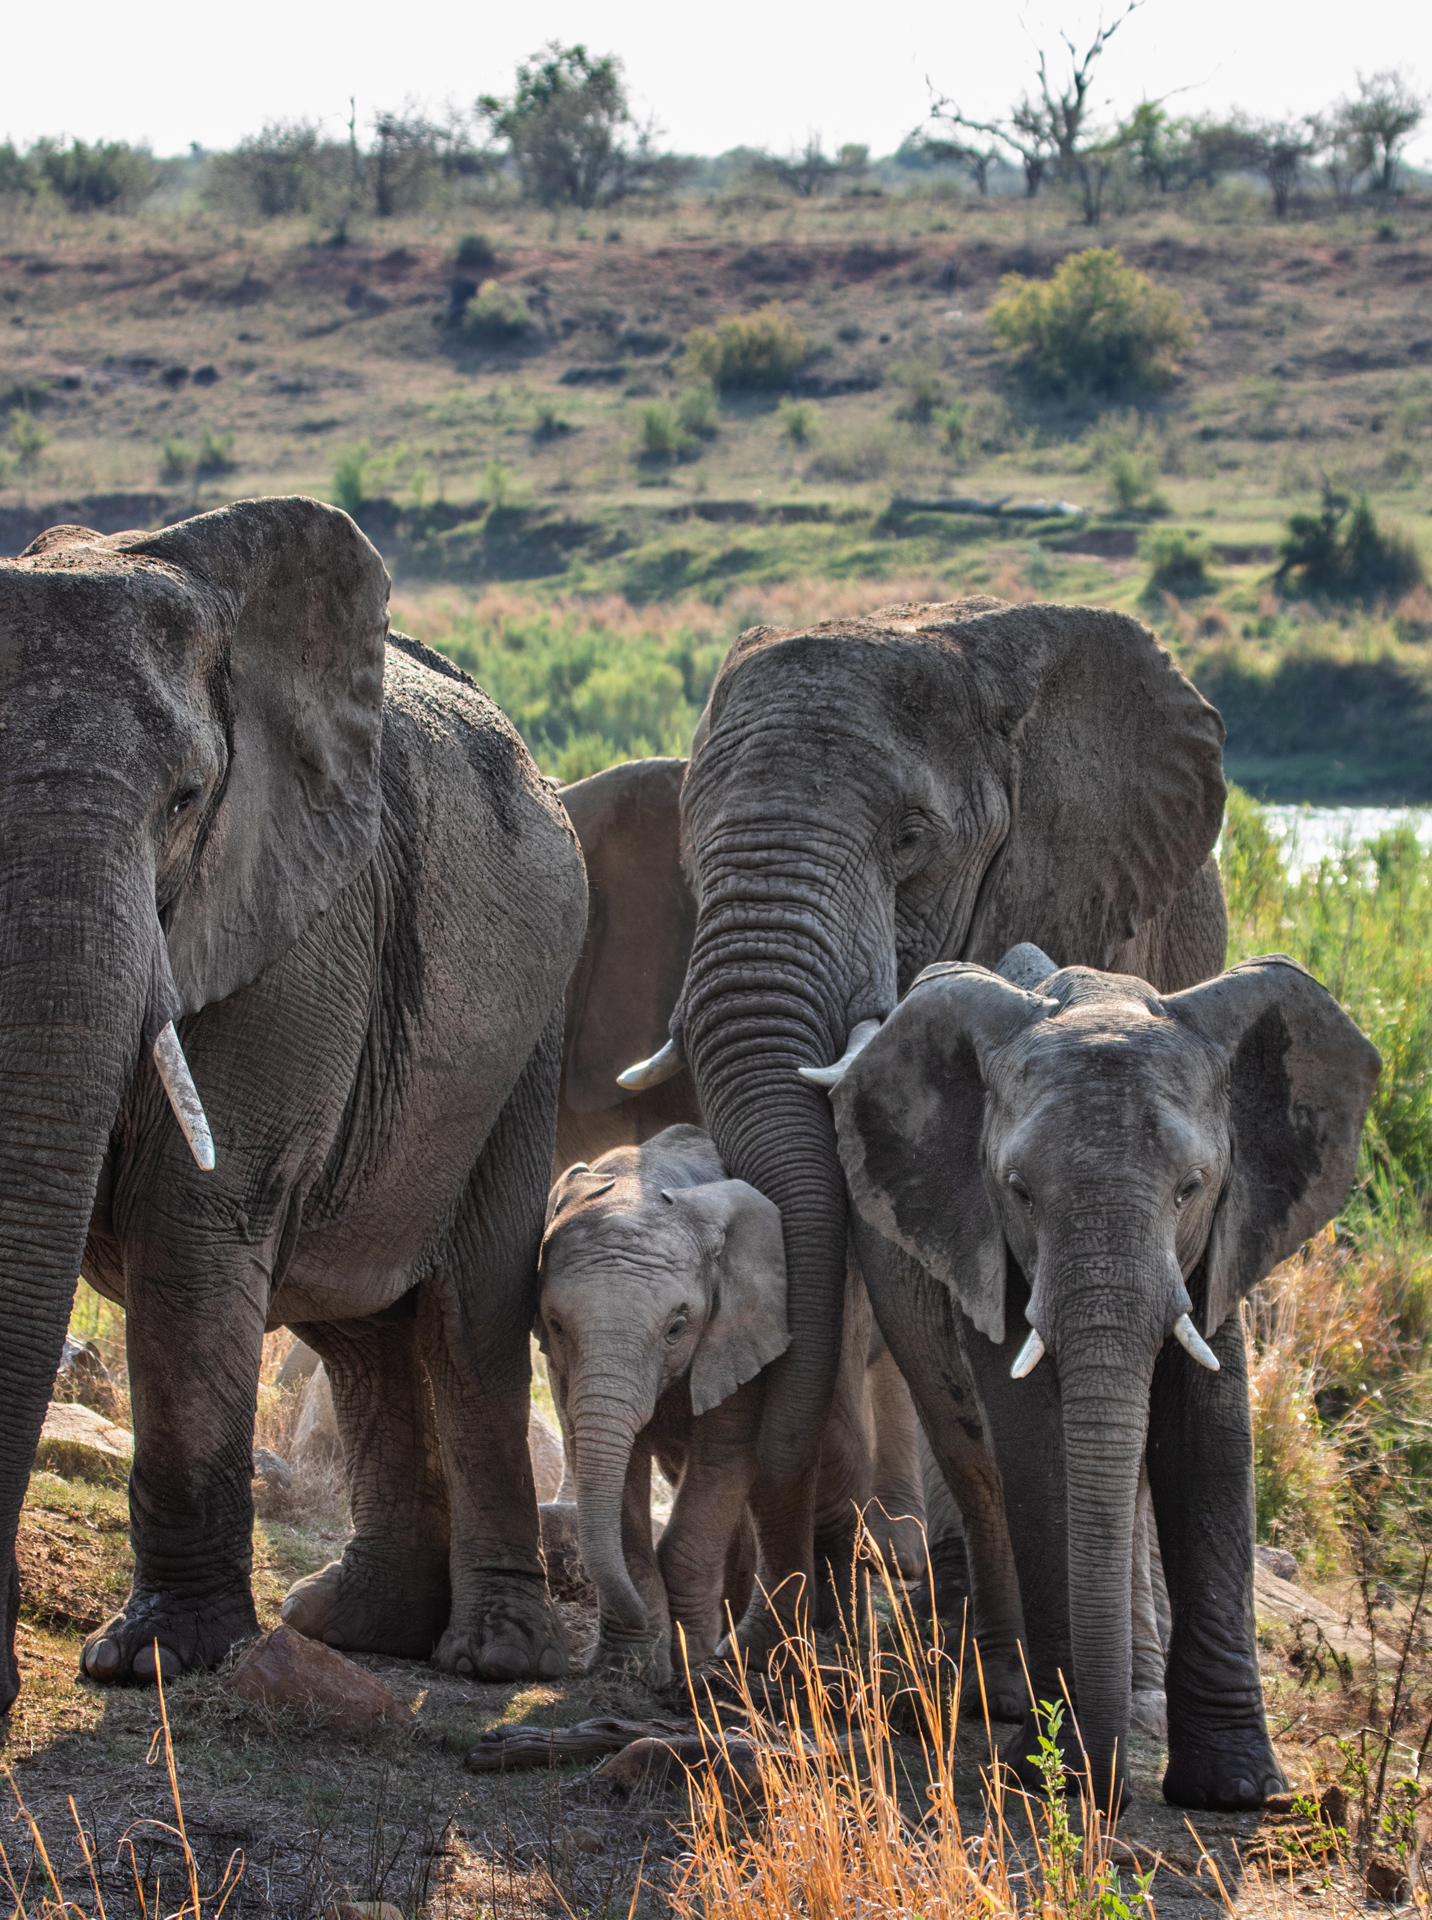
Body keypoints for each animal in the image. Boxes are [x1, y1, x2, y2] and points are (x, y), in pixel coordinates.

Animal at [0, 496, 587, 1706]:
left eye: (186, 800)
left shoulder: (294, 924)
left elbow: (195, 1228)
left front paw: (155, 1662)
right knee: (359, 1331)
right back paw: (358, 1627)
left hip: (527, 1034)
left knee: (469, 1319)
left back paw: (491, 1655)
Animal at [539, 1125, 880, 1682]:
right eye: (556, 1324)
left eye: (678, 1327)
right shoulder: (562, 1369)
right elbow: (614, 1471)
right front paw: (631, 1667)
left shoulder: (742, 1324)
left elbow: (723, 1456)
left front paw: (688, 1657)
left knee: (830, 1462)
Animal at [828, 943, 1380, 1806]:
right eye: (1019, 1191)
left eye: (1191, 1187)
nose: (1101, 1785)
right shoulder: (982, 1237)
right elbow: (1036, 1448)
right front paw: (1045, 1772)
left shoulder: (1225, 1238)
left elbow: (1210, 1441)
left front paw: (1236, 1789)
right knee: (973, 1460)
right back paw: (1005, 1697)